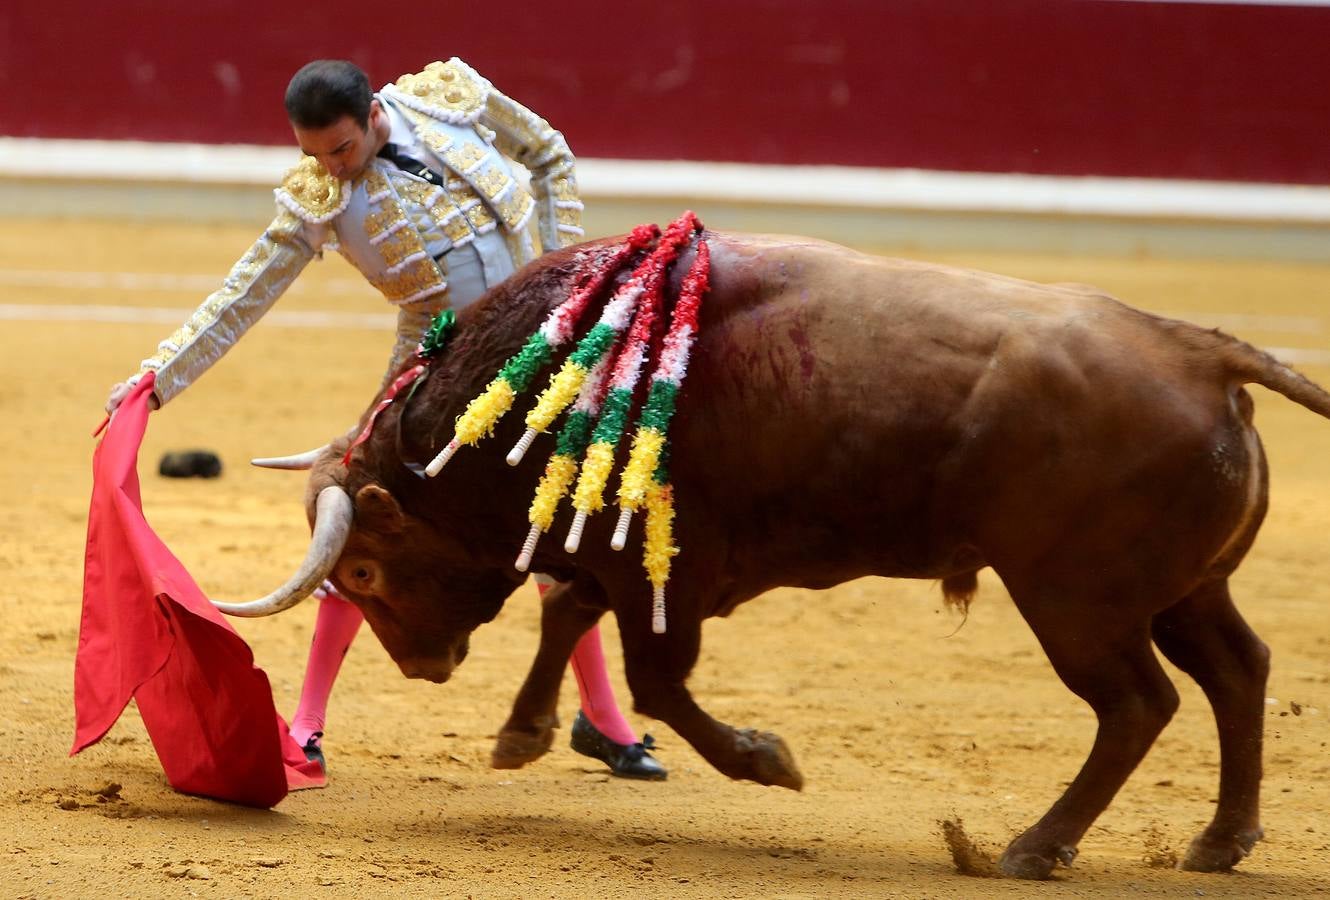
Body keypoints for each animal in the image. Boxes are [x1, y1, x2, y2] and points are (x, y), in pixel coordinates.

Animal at [218, 229, 1330, 877]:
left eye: (364, 572)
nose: (423, 665)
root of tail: (1199, 352)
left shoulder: (668, 574)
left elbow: (654, 676)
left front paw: (766, 762)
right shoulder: (616, 553)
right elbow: (568, 610)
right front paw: (523, 734)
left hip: (1076, 603)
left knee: (1138, 704)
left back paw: (1030, 847)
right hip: (1182, 591)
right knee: (1238, 672)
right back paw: (1217, 842)